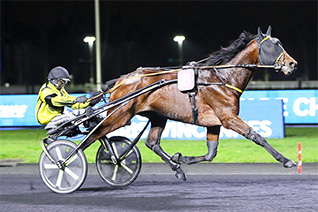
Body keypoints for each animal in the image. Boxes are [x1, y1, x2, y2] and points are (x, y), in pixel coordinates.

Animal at [85, 25, 298, 180]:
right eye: (274, 45)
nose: (292, 63)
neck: (223, 78)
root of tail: (122, 80)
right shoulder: (228, 118)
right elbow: (257, 136)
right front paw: (286, 160)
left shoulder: (214, 123)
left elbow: (211, 153)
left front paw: (182, 158)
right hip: (119, 115)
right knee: (94, 135)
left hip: (158, 116)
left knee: (152, 143)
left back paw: (176, 168)